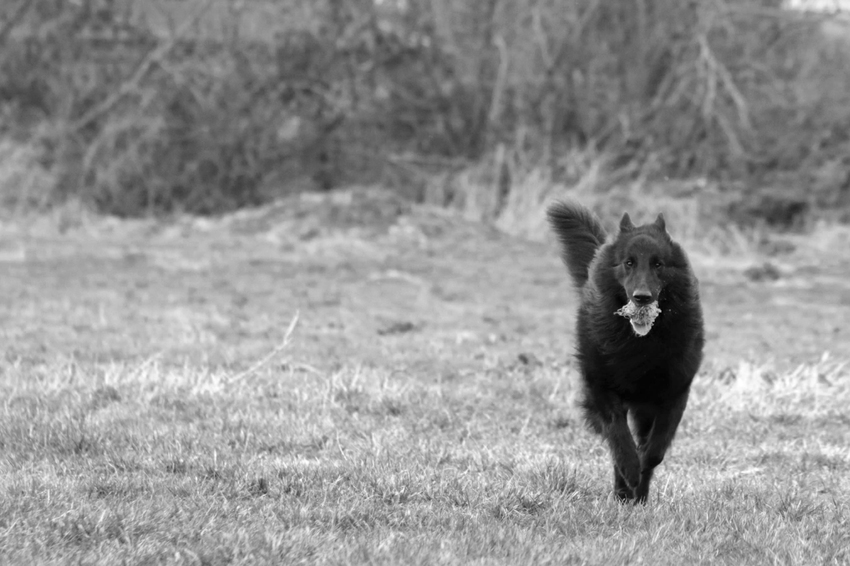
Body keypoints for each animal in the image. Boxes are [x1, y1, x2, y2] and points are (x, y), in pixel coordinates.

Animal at [547, 201, 704, 503]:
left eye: (658, 264)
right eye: (629, 262)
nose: (642, 297)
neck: (641, 343)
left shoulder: (674, 394)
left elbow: (655, 449)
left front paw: (641, 470)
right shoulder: (602, 389)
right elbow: (619, 437)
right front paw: (630, 470)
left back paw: (637, 495)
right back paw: (624, 491)